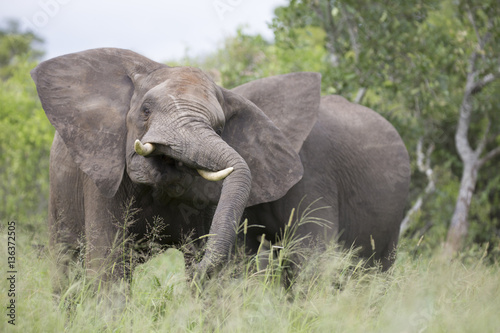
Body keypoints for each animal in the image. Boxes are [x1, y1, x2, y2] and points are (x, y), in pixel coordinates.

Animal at [32, 47, 410, 288]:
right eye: (145, 110)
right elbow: (108, 265)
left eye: (219, 126)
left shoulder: (314, 171)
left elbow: (306, 262)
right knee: (65, 266)